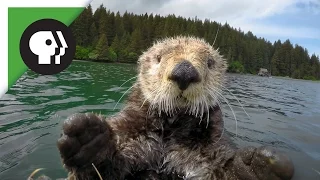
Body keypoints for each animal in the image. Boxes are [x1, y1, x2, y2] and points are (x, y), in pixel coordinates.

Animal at [51, 36, 294, 180]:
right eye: (159, 58)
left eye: (210, 63)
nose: (184, 71)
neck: (171, 132)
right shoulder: (132, 135)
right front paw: (88, 140)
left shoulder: (207, 152)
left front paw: (253, 167)